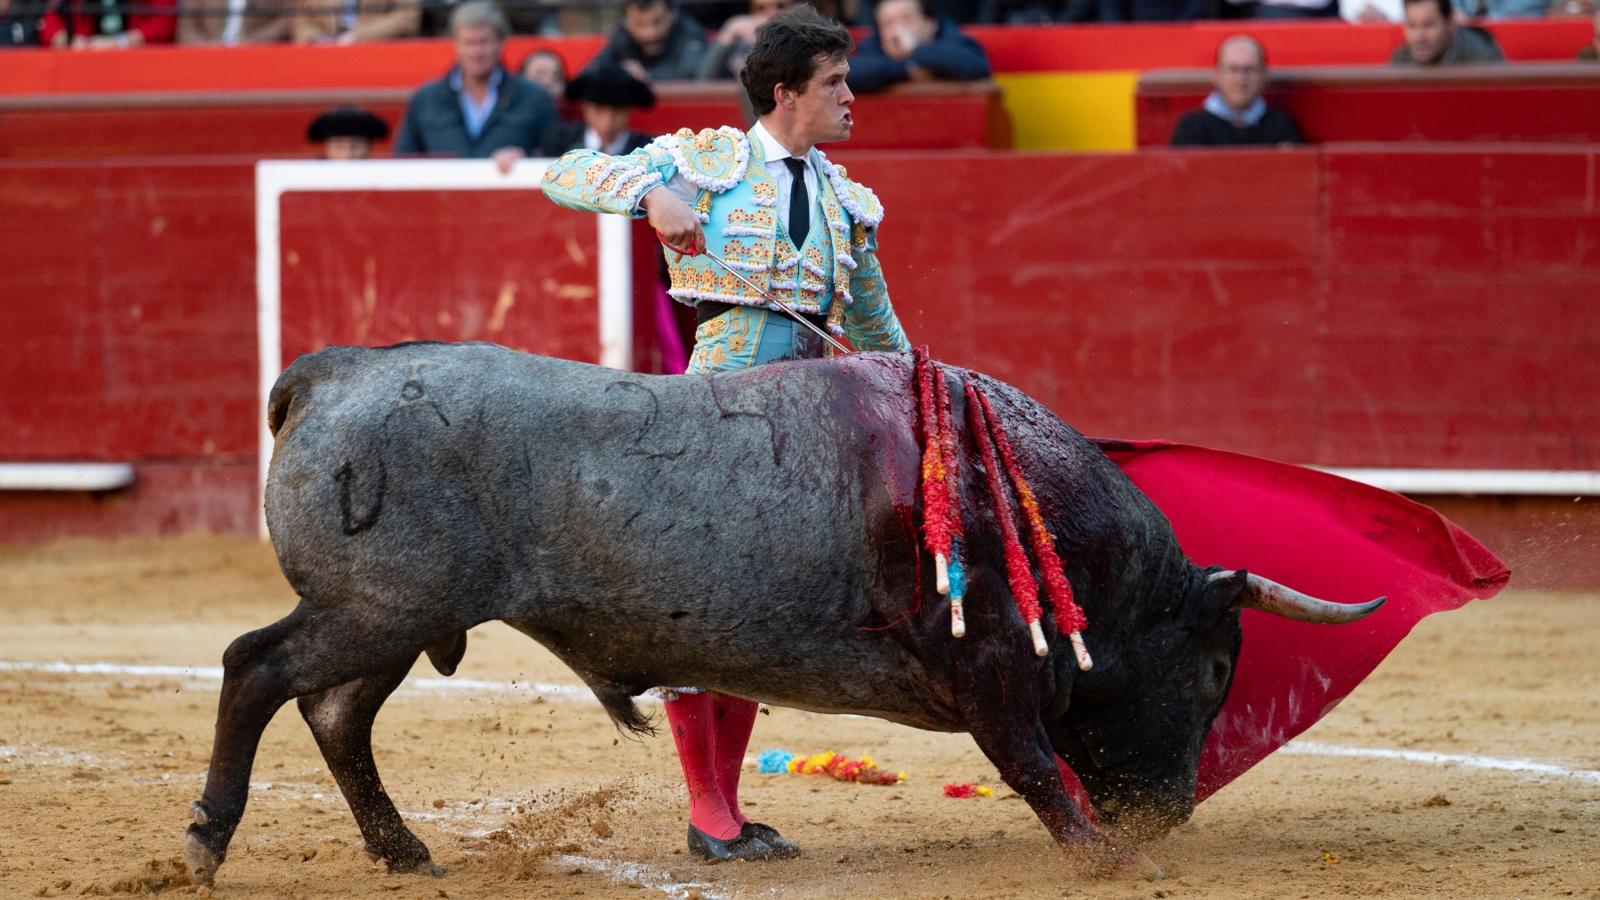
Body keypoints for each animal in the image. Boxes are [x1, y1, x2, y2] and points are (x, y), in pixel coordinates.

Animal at [181, 342, 1382, 883]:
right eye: (1218, 669)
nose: (1167, 813)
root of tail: (338, 373)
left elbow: (1042, 764)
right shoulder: (990, 673)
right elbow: (1040, 766)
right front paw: (1104, 859)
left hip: (384, 618)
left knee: (335, 715)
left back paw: (403, 850)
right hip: (374, 609)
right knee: (254, 669)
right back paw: (205, 841)